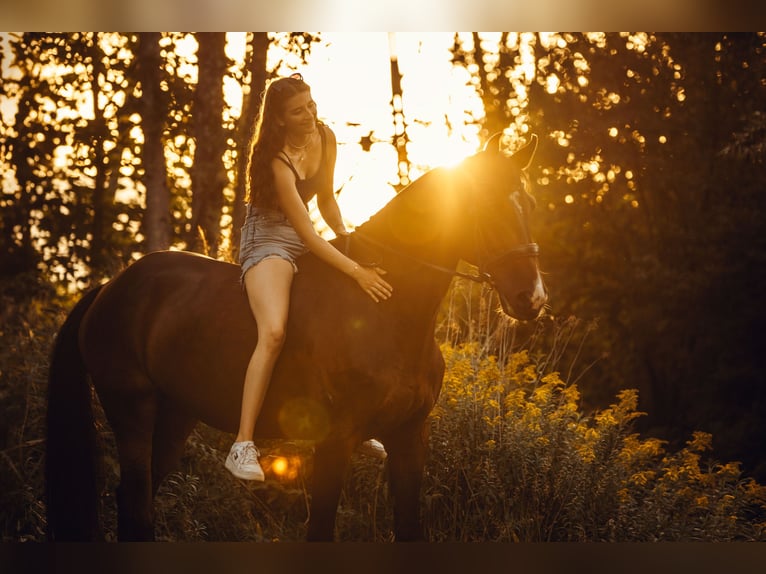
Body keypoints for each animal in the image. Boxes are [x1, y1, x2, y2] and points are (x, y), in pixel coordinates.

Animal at [45, 134, 544, 540]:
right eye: (486, 204)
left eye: (528, 202)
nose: (532, 298)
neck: (386, 312)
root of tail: (111, 287)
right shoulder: (335, 441)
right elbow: (320, 529)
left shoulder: (409, 438)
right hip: (132, 411)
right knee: (136, 503)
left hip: (175, 417)